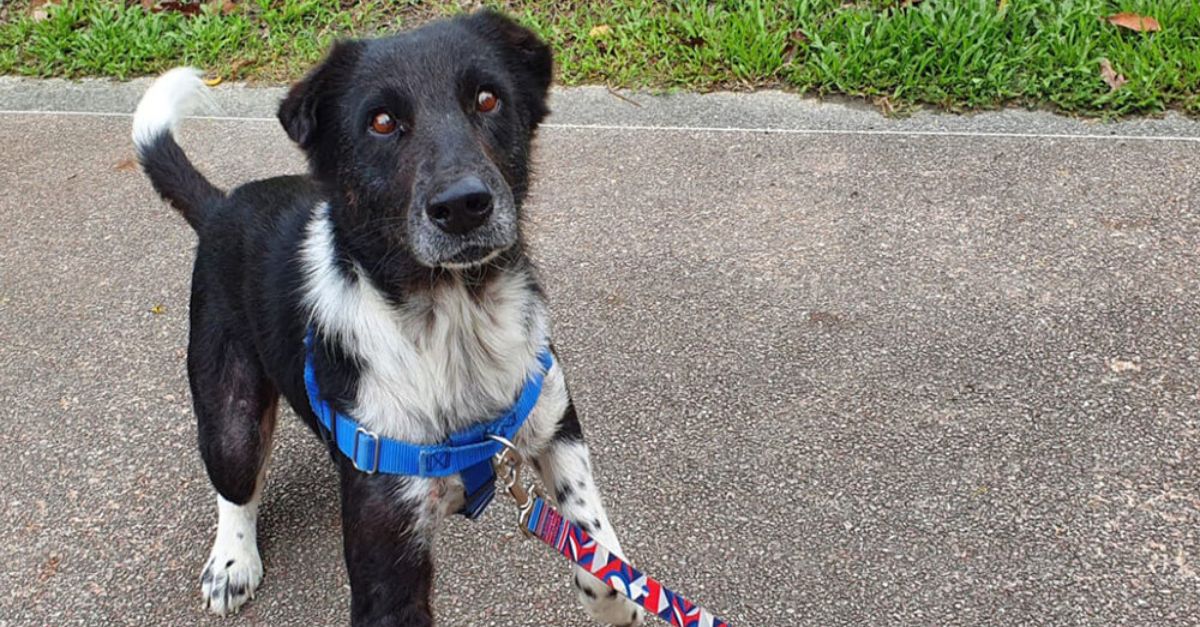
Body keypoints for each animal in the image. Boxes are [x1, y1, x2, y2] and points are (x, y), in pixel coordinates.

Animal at [133, 10, 648, 624]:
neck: (456, 322)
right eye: (381, 121)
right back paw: (232, 561)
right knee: (236, 481)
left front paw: (619, 601)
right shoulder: (388, 552)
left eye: (488, 98)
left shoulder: (555, 423)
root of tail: (219, 206)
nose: (463, 206)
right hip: (227, 409)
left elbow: (601, 556)